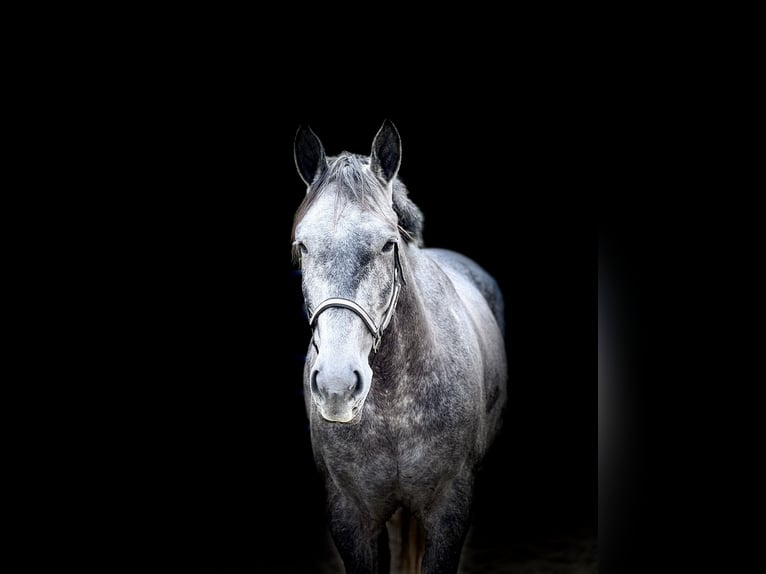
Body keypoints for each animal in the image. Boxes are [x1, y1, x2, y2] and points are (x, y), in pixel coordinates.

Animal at [291, 120, 508, 573]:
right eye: (302, 245)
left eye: (388, 243)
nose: (337, 387)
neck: (393, 406)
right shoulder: (352, 517)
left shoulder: (449, 510)